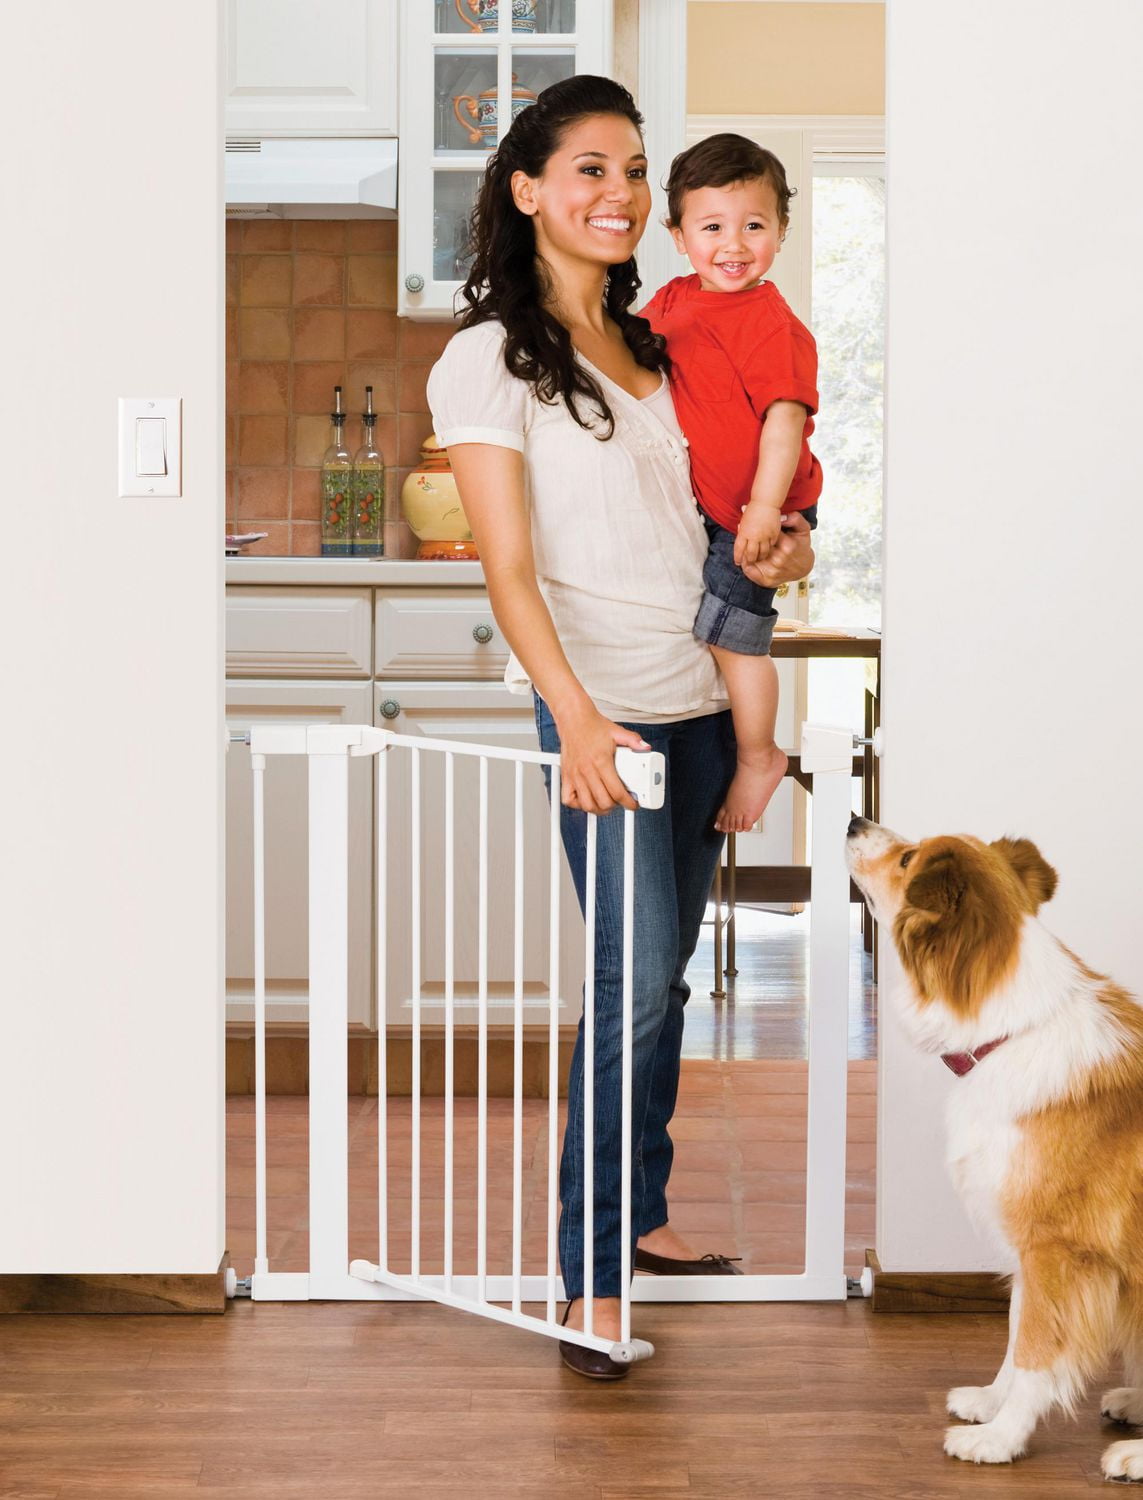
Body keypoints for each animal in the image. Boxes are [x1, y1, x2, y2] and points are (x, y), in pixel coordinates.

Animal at [840, 822, 1140, 1476]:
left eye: (907, 858)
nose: (853, 821)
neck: (1009, 1033)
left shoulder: (1057, 1249)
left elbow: (1035, 1354)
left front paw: (1001, 1440)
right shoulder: (1025, 1240)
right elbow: (1013, 1332)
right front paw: (988, 1403)